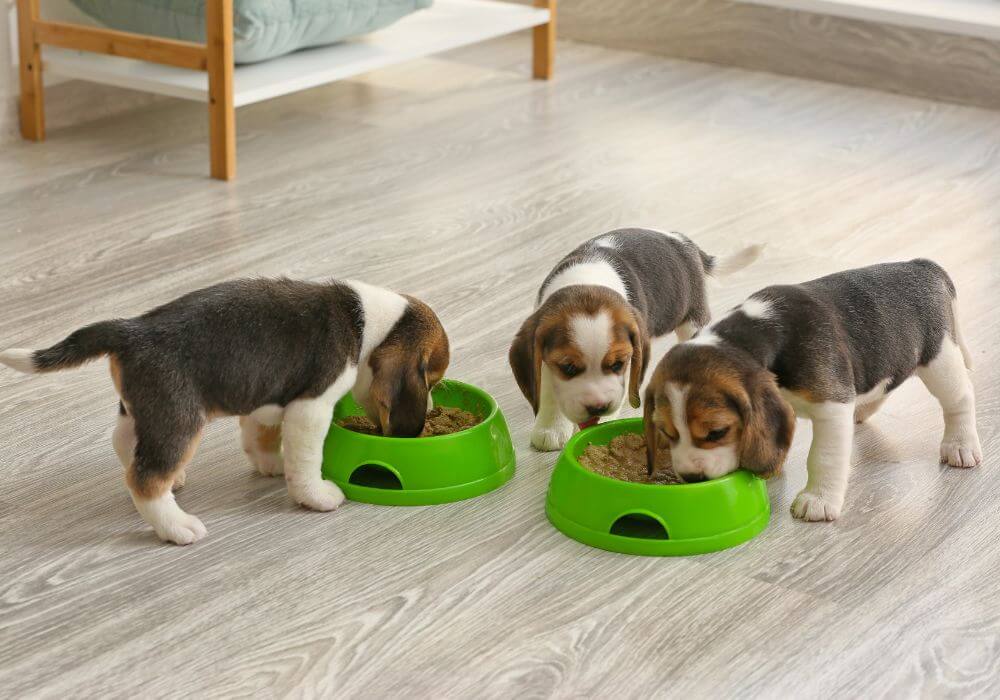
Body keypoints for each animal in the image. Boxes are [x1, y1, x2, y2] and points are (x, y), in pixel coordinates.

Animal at [0, 278, 448, 548]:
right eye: (434, 380)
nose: (427, 415)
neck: (369, 323)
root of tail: (132, 329)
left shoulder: (268, 398)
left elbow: (260, 436)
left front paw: (270, 465)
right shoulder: (310, 407)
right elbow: (306, 461)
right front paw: (316, 496)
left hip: (144, 409)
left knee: (125, 444)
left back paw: (173, 481)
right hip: (180, 418)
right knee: (143, 479)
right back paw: (177, 526)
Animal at [512, 227, 760, 452]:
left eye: (617, 364)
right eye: (568, 368)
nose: (597, 408)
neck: (585, 283)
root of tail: (683, 242)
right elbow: (548, 391)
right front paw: (550, 429)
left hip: (692, 320)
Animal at [644, 260, 980, 524]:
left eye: (717, 432)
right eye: (667, 433)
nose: (691, 478)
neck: (758, 334)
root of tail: (922, 265)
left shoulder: (832, 405)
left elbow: (823, 458)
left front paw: (818, 501)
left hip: (939, 359)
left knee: (960, 399)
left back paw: (961, 445)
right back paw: (864, 409)